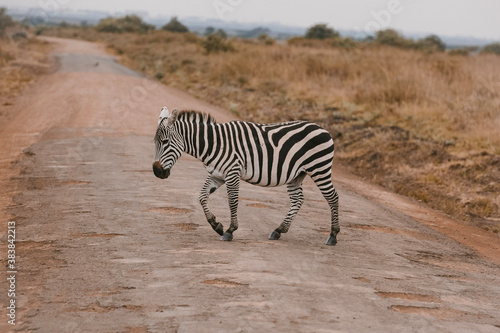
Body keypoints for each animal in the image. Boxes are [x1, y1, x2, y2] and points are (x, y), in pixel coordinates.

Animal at [152, 106, 340, 244]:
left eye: (165, 142)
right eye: (155, 142)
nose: (156, 171)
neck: (213, 144)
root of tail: (323, 129)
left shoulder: (232, 173)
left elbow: (232, 201)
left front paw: (229, 231)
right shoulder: (217, 175)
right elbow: (202, 197)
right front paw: (216, 225)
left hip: (319, 168)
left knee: (332, 197)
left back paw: (333, 235)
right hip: (297, 174)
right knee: (297, 199)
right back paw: (279, 230)